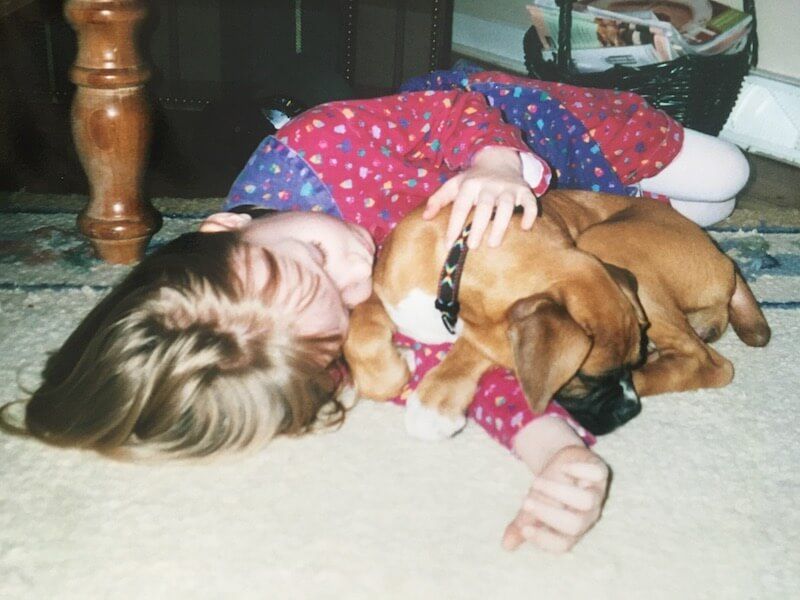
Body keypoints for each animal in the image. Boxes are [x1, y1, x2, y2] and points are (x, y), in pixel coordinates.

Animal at [343, 190, 770, 438]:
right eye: (587, 377)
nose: (630, 409)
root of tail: (726, 259)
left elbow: (472, 350)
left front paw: (436, 400)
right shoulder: (380, 289)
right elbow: (361, 333)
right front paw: (393, 365)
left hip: (604, 240)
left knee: (712, 364)